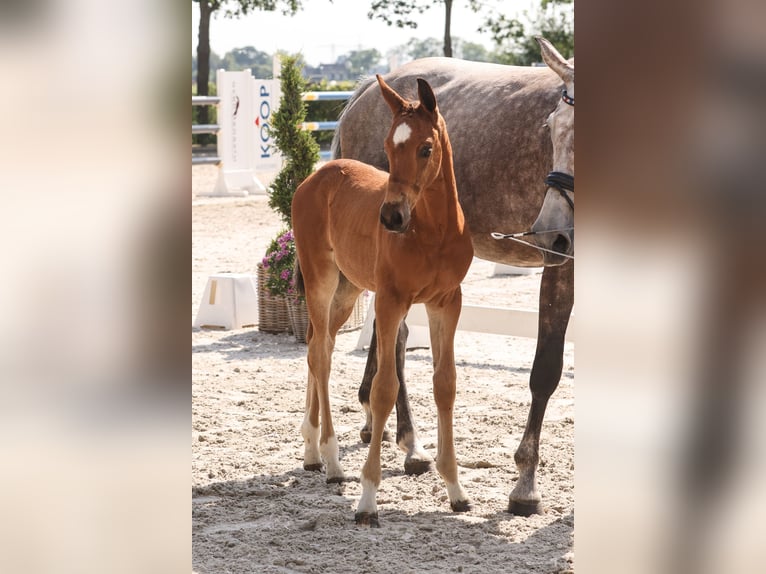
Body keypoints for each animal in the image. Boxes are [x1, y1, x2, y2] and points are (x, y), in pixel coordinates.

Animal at [291, 75, 475, 527]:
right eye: (389, 146)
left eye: (425, 148)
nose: (390, 217)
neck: (433, 231)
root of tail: (317, 176)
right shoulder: (391, 301)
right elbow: (384, 388)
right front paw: (368, 499)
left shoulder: (447, 302)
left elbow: (445, 384)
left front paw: (456, 490)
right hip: (321, 280)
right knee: (320, 355)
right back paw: (332, 460)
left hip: (348, 289)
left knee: (317, 344)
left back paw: (310, 450)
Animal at [333, 37, 574, 515]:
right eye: (551, 127)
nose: (551, 231)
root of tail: (366, 91)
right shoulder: (562, 265)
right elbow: (546, 369)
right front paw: (525, 484)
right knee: (398, 343)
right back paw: (410, 444)